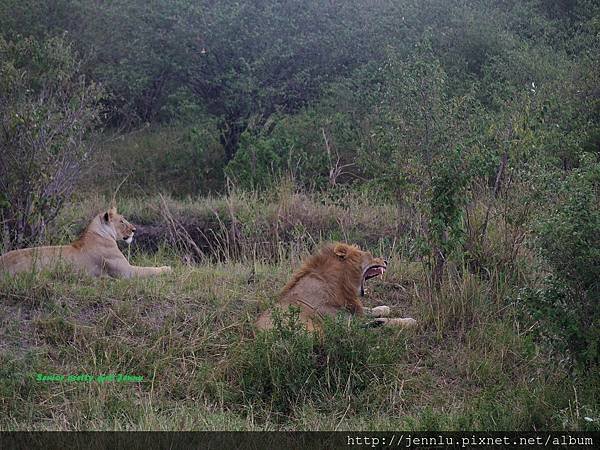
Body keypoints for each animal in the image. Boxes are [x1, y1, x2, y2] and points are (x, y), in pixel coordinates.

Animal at [256, 243, 418, 330]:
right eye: (370, 255)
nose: (385, 261)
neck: (340, 284)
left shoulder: (350, 309)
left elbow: (369, 310)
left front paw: (384, 308)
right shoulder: (345, 319)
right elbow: (385, 320)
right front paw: (409, 321)